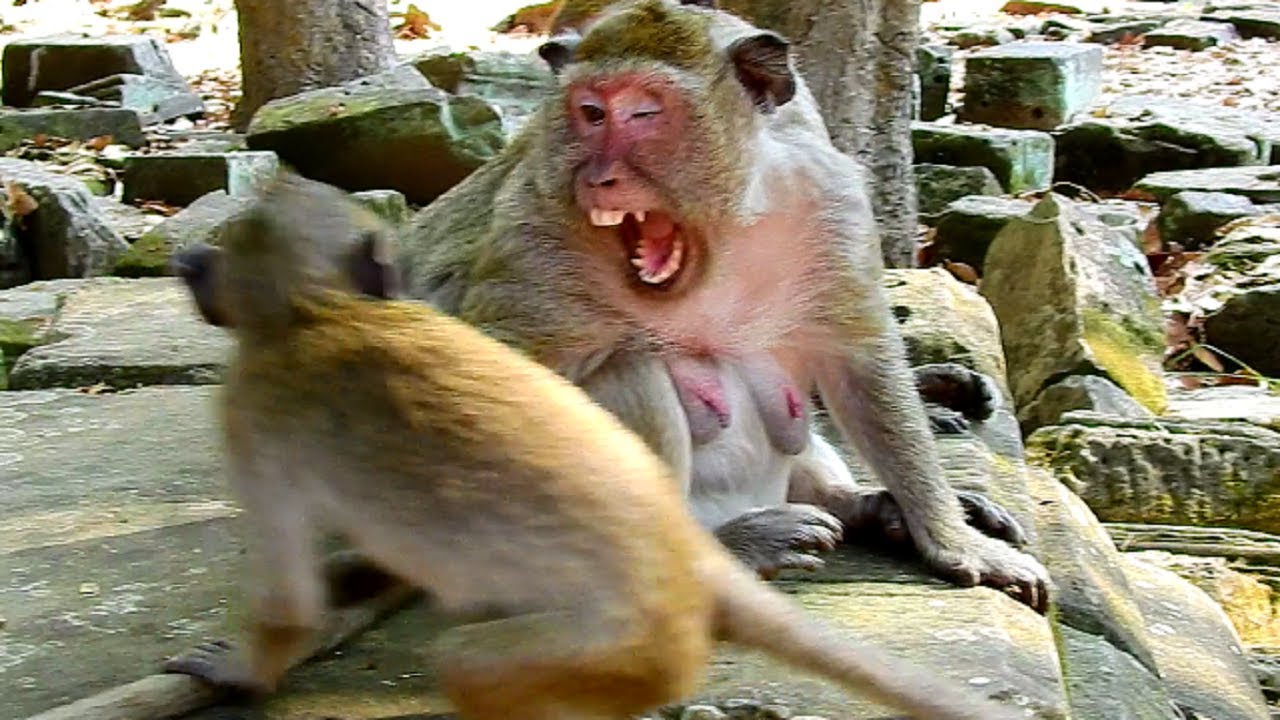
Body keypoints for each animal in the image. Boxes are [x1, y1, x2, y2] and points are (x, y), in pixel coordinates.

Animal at [386, 0, 1053, 610]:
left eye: (645, 113)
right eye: (591, 113)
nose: (599, 178)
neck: (724, 232)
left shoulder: (829, 200)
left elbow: (861, 364)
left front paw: (950, 535)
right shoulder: (537, 223)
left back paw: (870, 508)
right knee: (623, 370)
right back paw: (721, 555)